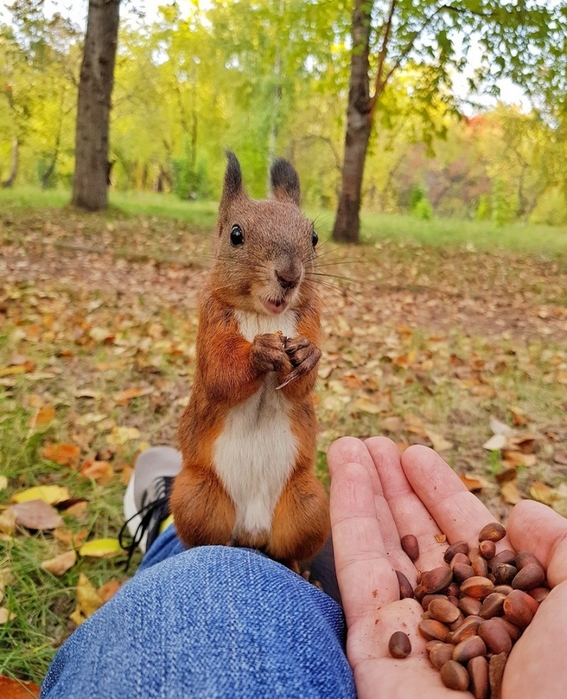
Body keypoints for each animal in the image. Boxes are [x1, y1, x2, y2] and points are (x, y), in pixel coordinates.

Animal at [171, 152, 328, 564]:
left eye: (314, 237)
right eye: (235, 234)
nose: (289, 275)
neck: (265, 316)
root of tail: (253, 529)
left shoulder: (311, 317)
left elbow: (302, 386)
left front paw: (309, 353)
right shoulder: (211, 320)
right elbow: (220, 375)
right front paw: (261, 351)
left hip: (309, 502)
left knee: (290, 550)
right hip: (196, 497)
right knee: (208, 537)